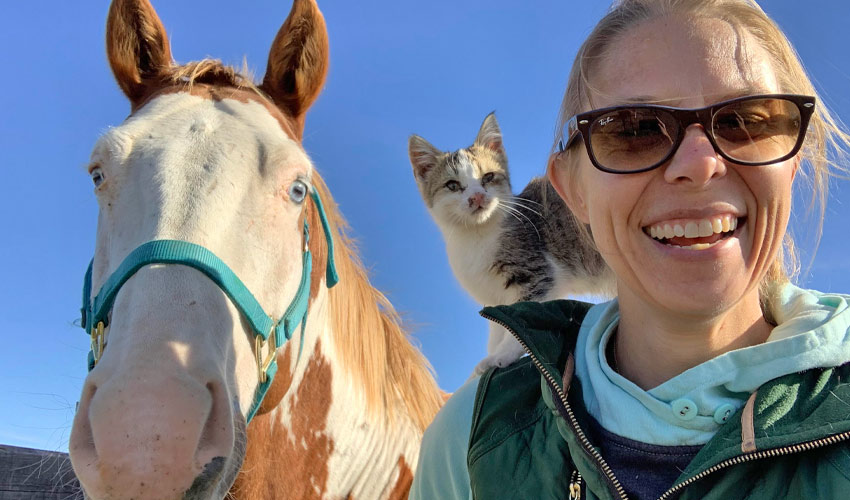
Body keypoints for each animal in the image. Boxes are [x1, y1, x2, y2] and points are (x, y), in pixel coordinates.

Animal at [408, 111, 612, 374]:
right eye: (452, 185)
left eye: (488, 177)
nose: (477, 197)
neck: (476, 237)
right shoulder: (495, 297)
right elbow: (498, 326)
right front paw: (489, 358)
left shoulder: (538, 276)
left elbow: (517, 323)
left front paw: (501, 355)